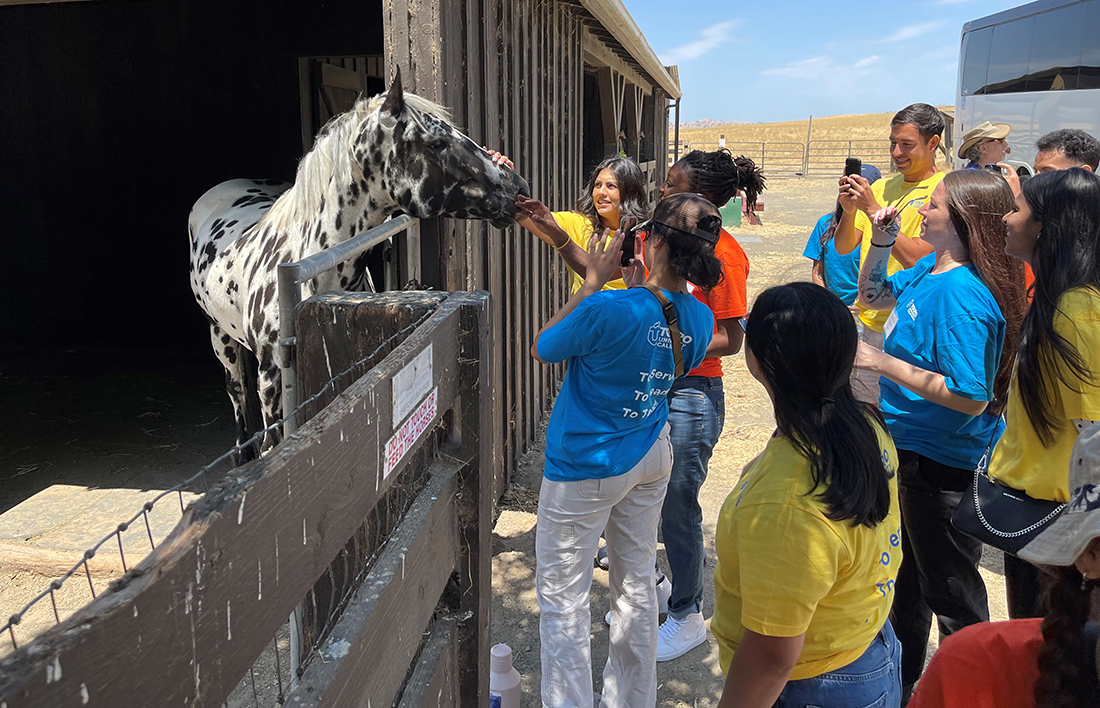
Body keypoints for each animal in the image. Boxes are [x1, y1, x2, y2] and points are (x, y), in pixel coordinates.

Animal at [188, 69, 529, 459]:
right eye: (437, 142)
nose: (519, 188)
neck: (311, 265)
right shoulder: (272, 378)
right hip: (220, 337)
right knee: (236, 392)